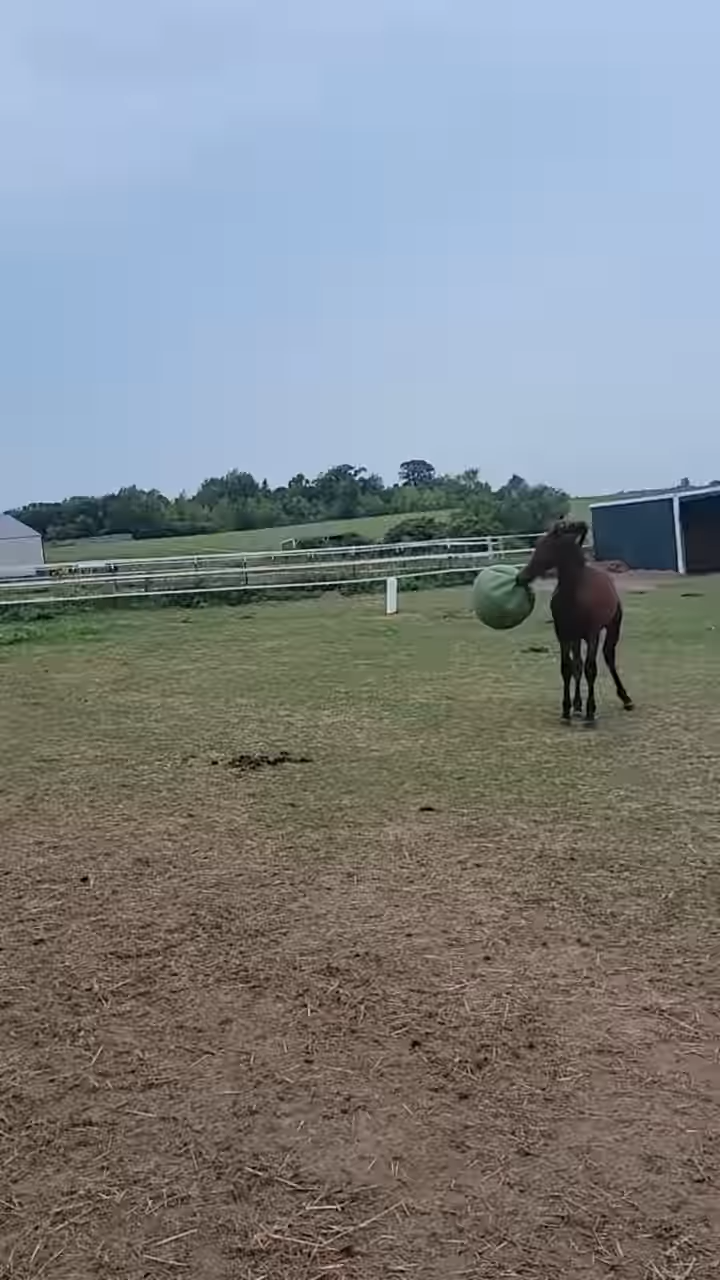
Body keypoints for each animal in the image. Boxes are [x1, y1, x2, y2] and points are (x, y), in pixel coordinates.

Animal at [515, 517, 627, 721]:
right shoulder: (563, 634)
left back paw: (625, 698)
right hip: (576, 637)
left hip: (612, 627)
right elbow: (568, 668)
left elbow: (591, 669)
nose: (521, 577)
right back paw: (577, 705)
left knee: (608, 657)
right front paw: (567, 709)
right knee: (578, 665)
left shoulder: (592, 634)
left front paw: (590, 711)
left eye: (548, 545)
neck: (573, 594)